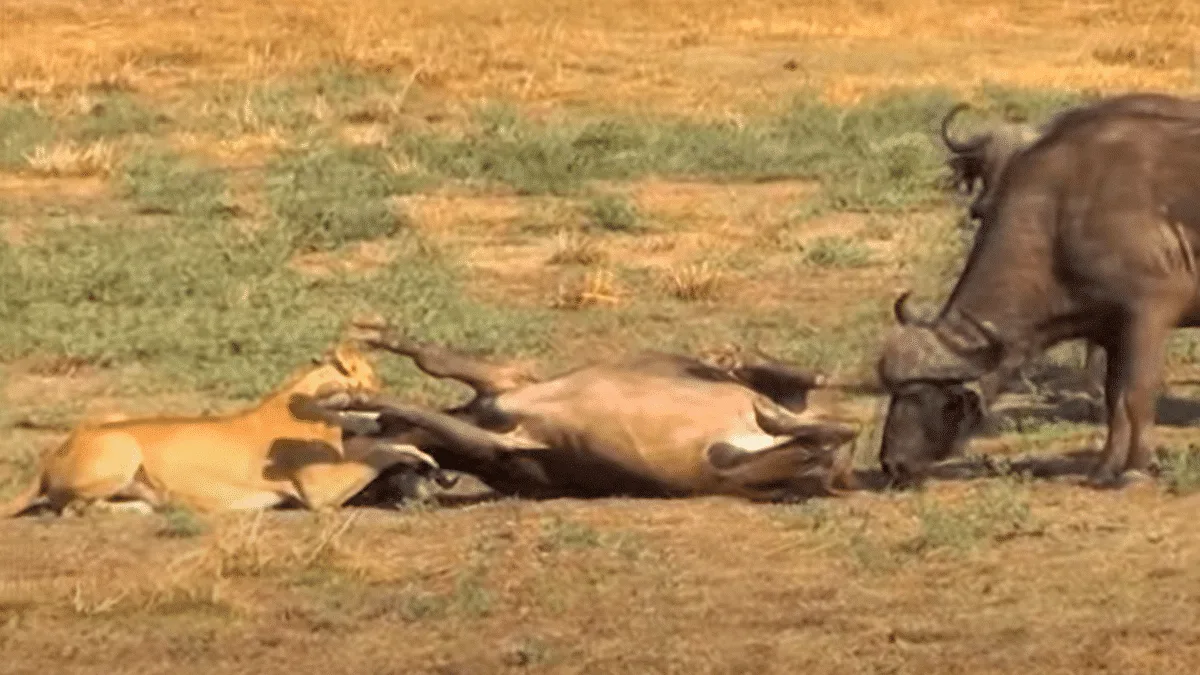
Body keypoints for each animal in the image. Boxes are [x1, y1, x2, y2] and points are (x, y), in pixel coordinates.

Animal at [883, 93, 1200, 482]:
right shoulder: (1109, 331)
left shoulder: (1149, 314)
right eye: (892, 393)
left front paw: (1136, 468)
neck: (1061, 213)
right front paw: (1105, 466)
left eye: (919, 395)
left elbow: (1138, 393)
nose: (890, 462)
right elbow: (1115, 399)